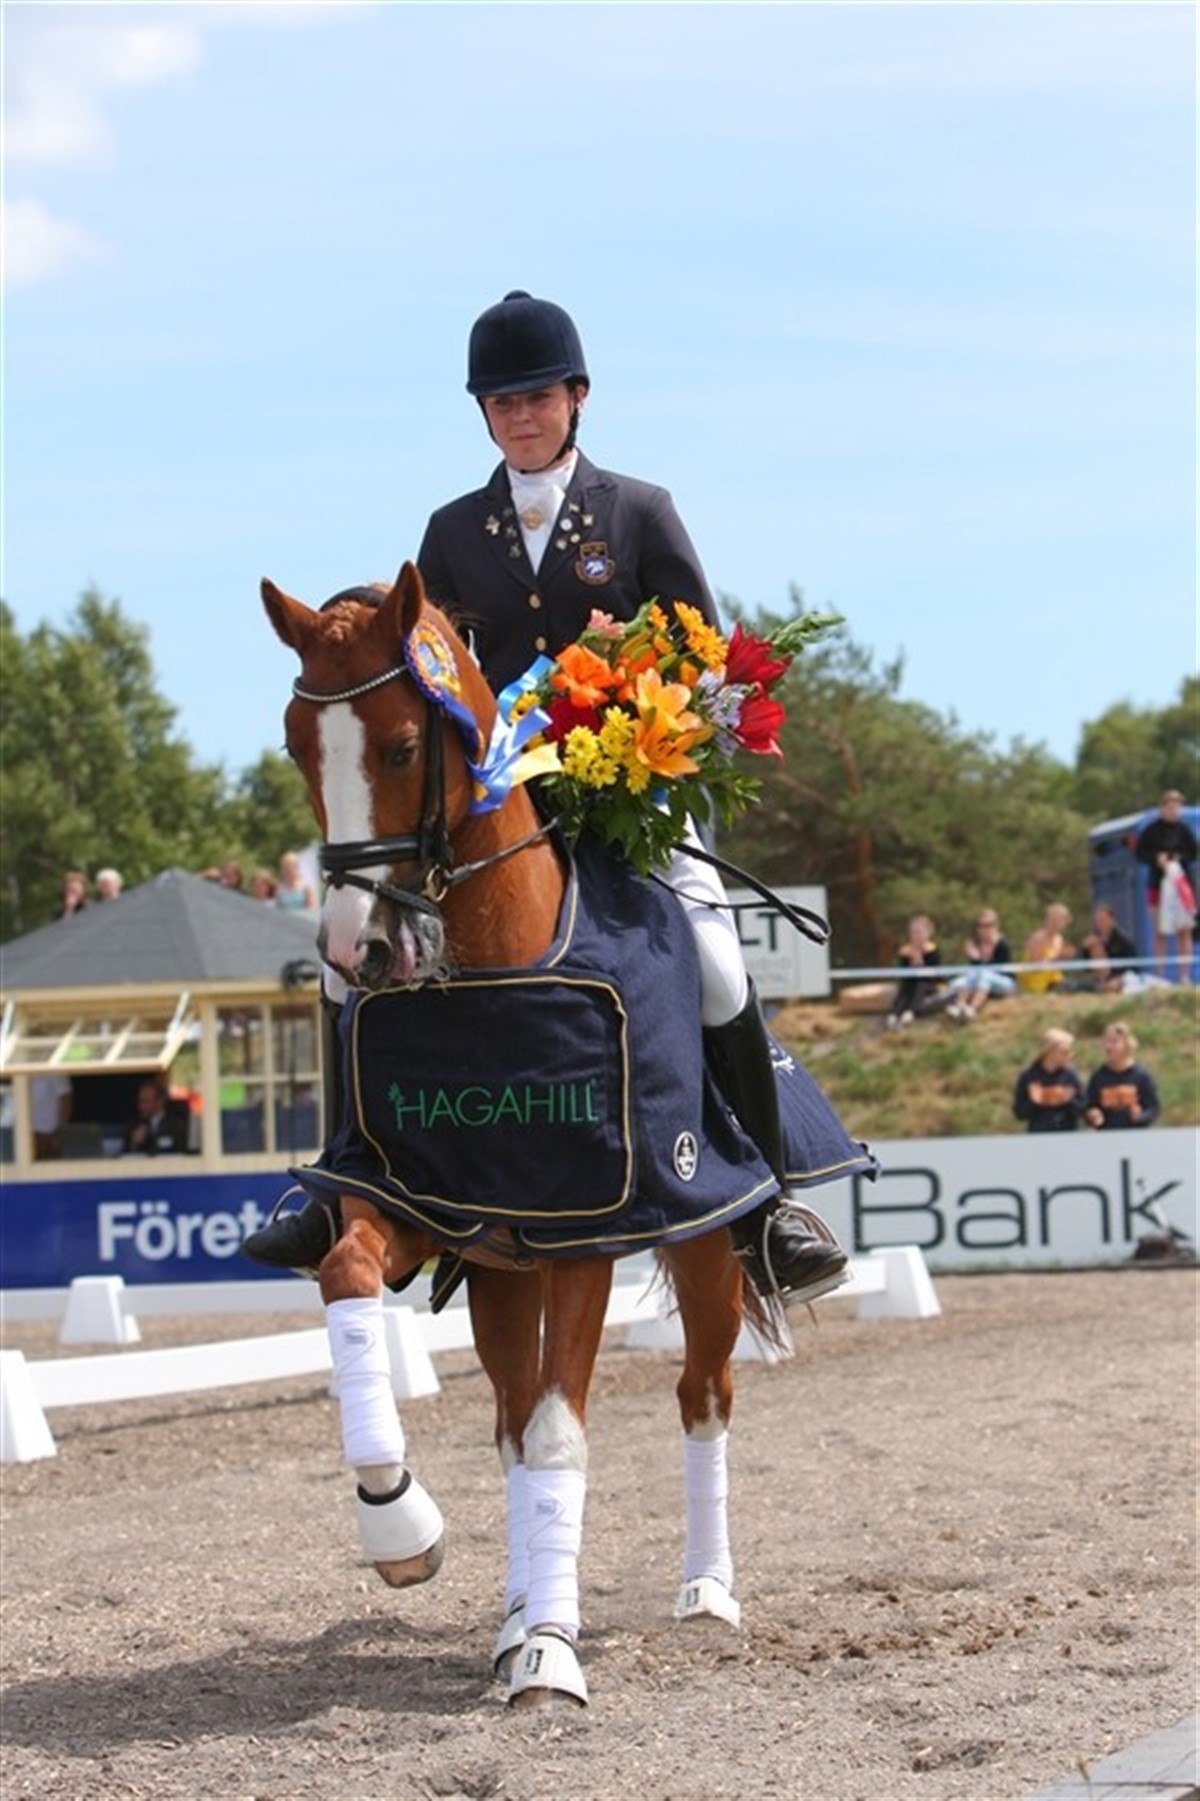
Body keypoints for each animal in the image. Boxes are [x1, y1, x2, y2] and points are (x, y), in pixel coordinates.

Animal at [259, 560, 817, 1708]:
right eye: (297, 744)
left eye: (402, 744)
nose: (352, 949)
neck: (491, 969)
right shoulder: (435, 1209)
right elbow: (349, 1277)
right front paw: (401, 1523)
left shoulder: (585, 1235)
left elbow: (562, 1433)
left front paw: (552, 1654)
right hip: (501, 1272)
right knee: (511, 1421)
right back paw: (518, 1608)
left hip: (703, 1243)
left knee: (702, 1394)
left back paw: (706, 1593)